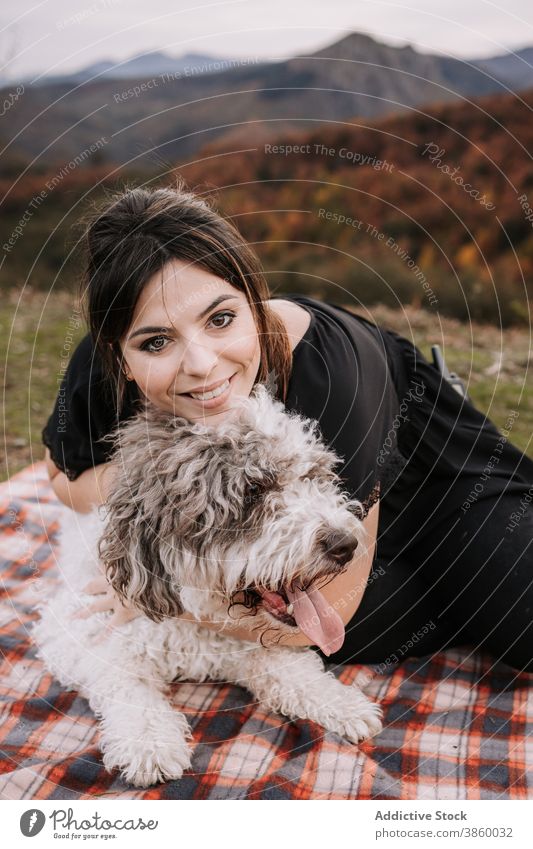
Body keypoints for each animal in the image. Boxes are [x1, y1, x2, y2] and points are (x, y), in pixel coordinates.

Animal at [33, 384, 382, 788]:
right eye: (253, 490)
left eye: (313, 477)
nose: (346, 544)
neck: (195, 612)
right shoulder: (75, 630)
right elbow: (123, 682)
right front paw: (149, 743)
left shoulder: (254, 645)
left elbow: (297, 672)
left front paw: (342, 703)